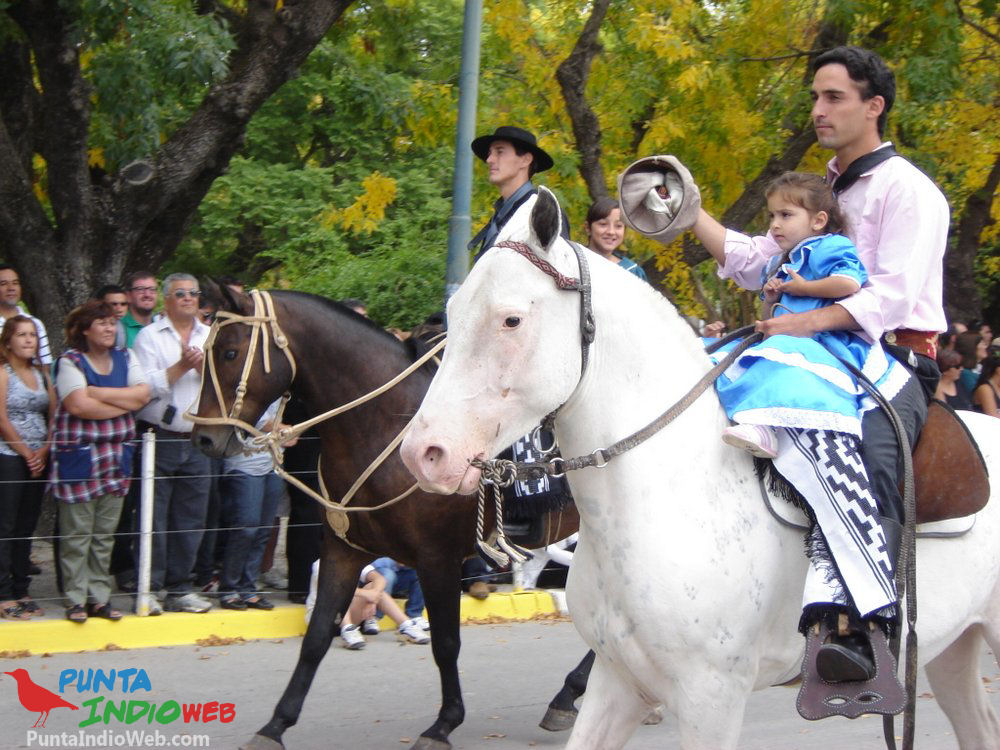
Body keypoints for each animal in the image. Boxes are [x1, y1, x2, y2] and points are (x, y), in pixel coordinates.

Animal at [189, 284, 586, 750]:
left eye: (230, 352)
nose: (203, 437)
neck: (384, 423)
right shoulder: (342, 551)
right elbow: (317, 636)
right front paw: (276, 725)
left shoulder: (437, 559)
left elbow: (445, 643)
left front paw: (443, 723)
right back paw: (569, 696)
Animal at [400, 187, 1000, 749]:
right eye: (452, 316)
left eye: (511, 319)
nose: (423, 453)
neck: (666, 497)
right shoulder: (619, 681)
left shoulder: (712, 696)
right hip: (953, 647)